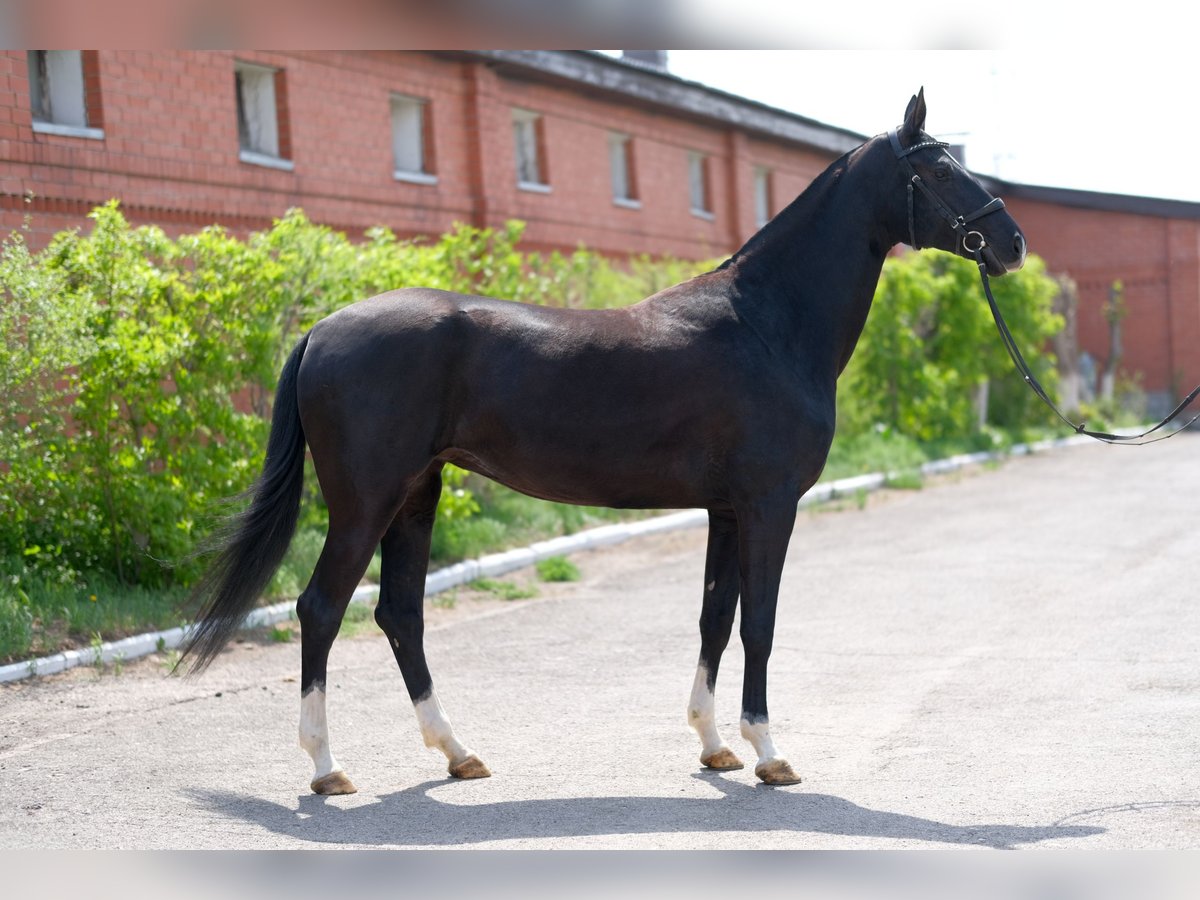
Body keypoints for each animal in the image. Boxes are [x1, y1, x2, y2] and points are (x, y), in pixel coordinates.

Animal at [182, 93, 1027, 796]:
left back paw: (458, 753)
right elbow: (759, 623)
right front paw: (769, 753)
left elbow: (714, 618)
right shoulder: (768, 506)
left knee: (400, 614)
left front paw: (714, 746)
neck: (767, 324)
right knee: (322, 609)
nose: (1012, 242)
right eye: (939, 168)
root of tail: (321, 331)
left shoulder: (725, 510)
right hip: (366, 502)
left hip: (417, 495)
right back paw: (328, 768)